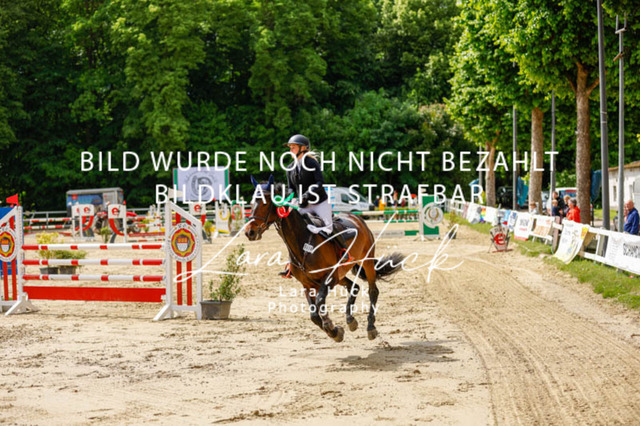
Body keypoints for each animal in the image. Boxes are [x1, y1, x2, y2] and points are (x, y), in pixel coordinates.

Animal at [244, 177, 405, 342]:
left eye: (265, 203)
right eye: (251, 202)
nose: (249, 232)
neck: (303, 242)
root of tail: (357, 218)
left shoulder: (329, 277)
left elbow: (320, 301)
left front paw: (332, 328)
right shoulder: (307, 284)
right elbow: (314, 315)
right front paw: (335, 331)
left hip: (366, 262)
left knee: (373, 291)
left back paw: (371, 328)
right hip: (341, 274)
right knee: (353, 287)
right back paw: (350, 320)